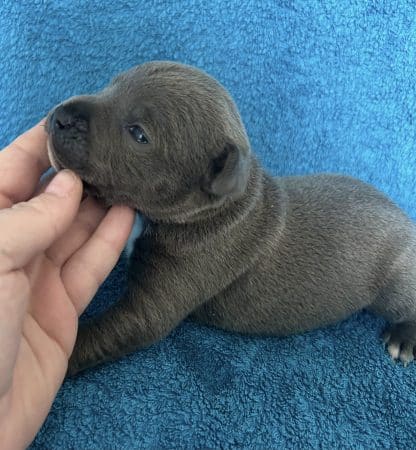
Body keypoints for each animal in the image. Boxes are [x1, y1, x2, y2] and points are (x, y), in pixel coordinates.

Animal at [46, 61, 416, 374]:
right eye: (112, 85)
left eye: (139, 134)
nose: (60, 117)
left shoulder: (161, 296)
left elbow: (108, 333)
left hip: (396, 280)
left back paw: (403, 337)